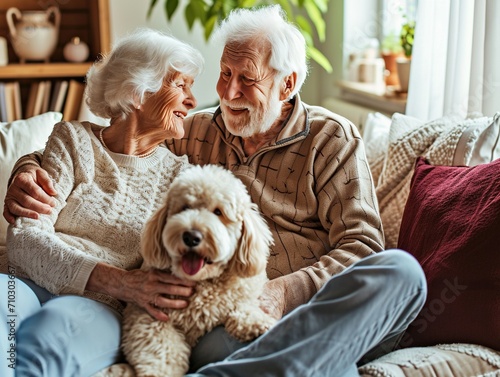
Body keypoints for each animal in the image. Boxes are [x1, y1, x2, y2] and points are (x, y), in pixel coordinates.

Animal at [121, 164, 278, 376]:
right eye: (185, 207)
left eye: (218, 212)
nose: (191, 236)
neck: (202, 283)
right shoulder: (147, 314)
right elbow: (163, 349)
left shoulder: (242, 296)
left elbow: (244, 307)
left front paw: (259, 324)